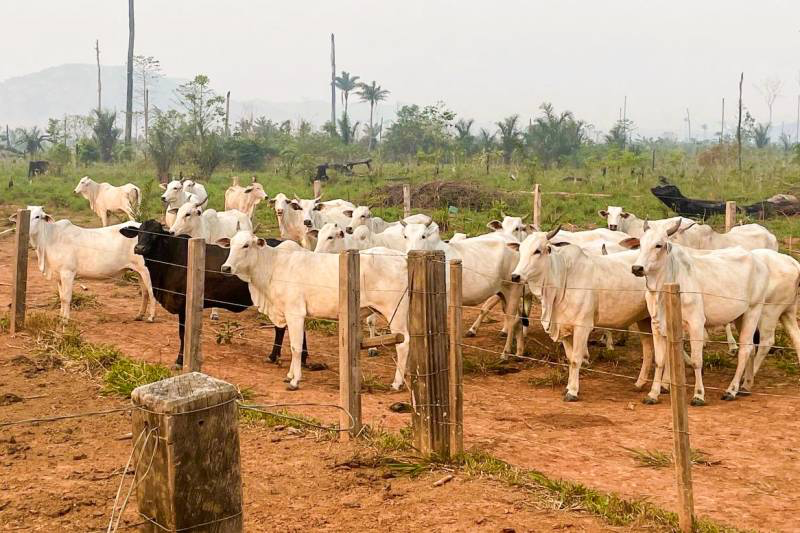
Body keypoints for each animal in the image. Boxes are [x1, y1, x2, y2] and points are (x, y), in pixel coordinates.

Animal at [11, 205, 155, 320]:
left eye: (37, 216)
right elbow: (61, 297)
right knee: (145, 292)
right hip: (138, 271)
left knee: (152, 292)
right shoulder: (59, 276)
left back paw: (151, 317)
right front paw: (60, 317)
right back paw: (139, 315)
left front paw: (65, 320)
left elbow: (66, 298)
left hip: (147, 271)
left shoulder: (68, 273)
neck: (50, 238)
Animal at [119, 218, 310, 368]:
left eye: (155, 234)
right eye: (139, 232)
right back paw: (299, 358)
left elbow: (183, 334)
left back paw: (277, 356)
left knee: (283, 327)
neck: (168, 260)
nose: (139, 248)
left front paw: (180, 361)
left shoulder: (184, 305)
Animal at [219, 231, 410, 388]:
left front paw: (295, 380)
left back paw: (397, 382)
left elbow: (296, 347)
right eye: (231, 244)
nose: (226, 268)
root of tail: (402, 258)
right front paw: (290, 375)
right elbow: (295, 344)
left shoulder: (295, 313)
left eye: (246, 245)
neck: (273, 265)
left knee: (403, 343)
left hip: (395, 312)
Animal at [510, 229, 652, 400]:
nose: (515, 276)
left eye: (537, 251)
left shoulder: (582, 328)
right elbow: (570, 358)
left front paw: (572, 392)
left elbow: (576, 359)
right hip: (644, 319)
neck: (564, 278)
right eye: (520, 250)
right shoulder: (563, 328)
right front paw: (568, 387)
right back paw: (641, 383)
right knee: (649, 350)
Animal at [628, 219, 772, 404]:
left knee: (745, 349)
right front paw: (653, 394)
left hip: (754, 310)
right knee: (751, 349)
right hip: (740, 316)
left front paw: (698, 394)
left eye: (658, 245)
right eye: (640, 244)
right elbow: (660, 360)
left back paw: (731, 390)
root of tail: (757, 259)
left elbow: (697, 360)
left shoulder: (696, 323)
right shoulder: (657, 325)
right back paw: (746, 386)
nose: (637, 268)